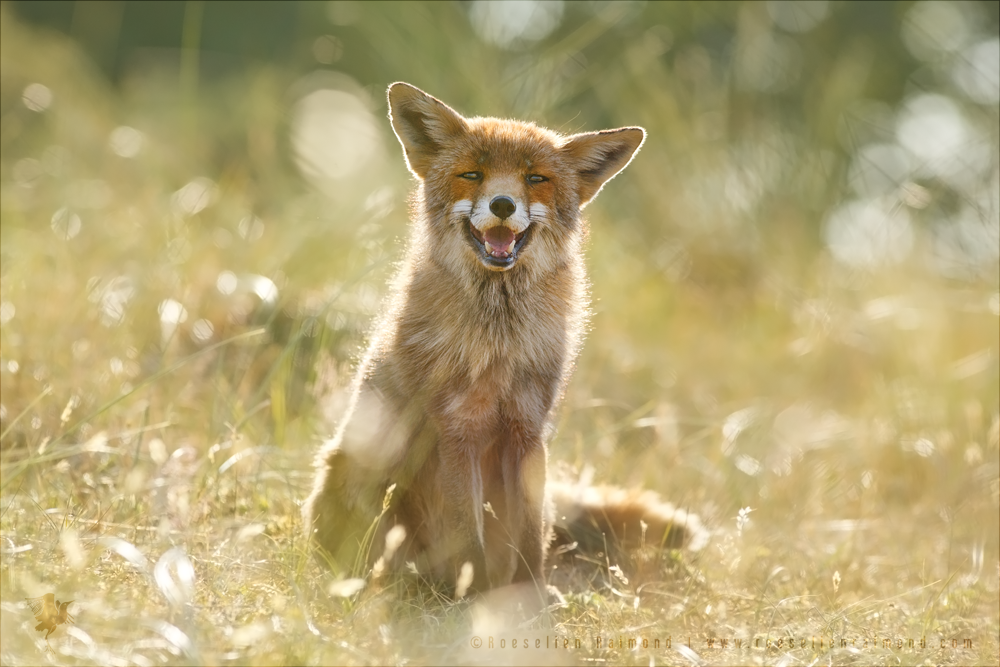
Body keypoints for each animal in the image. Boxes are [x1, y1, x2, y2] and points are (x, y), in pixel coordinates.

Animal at [303, 82, 705, 601]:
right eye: (472, 175)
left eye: (535, 179)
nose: (502, 205)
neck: (499, 340)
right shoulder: (456, 430)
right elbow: (466, 535)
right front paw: (475, 599)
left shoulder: (528, 429)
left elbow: (529, 539)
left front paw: (531, 597)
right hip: (361, 471)